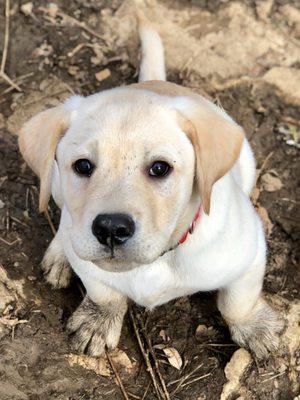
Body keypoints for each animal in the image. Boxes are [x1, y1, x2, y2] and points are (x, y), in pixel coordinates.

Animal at [18, 17, 282, 358]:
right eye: (83, 166)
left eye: (159, 168)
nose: (111, 228)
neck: (160, 259)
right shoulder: (90, 264)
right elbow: (103, 291)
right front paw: (98, 319)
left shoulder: (250, 253)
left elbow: (238, 301)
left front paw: (254, 327)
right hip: (54, 186)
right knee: (65, 222)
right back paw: (59, 252)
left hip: (247, 164)